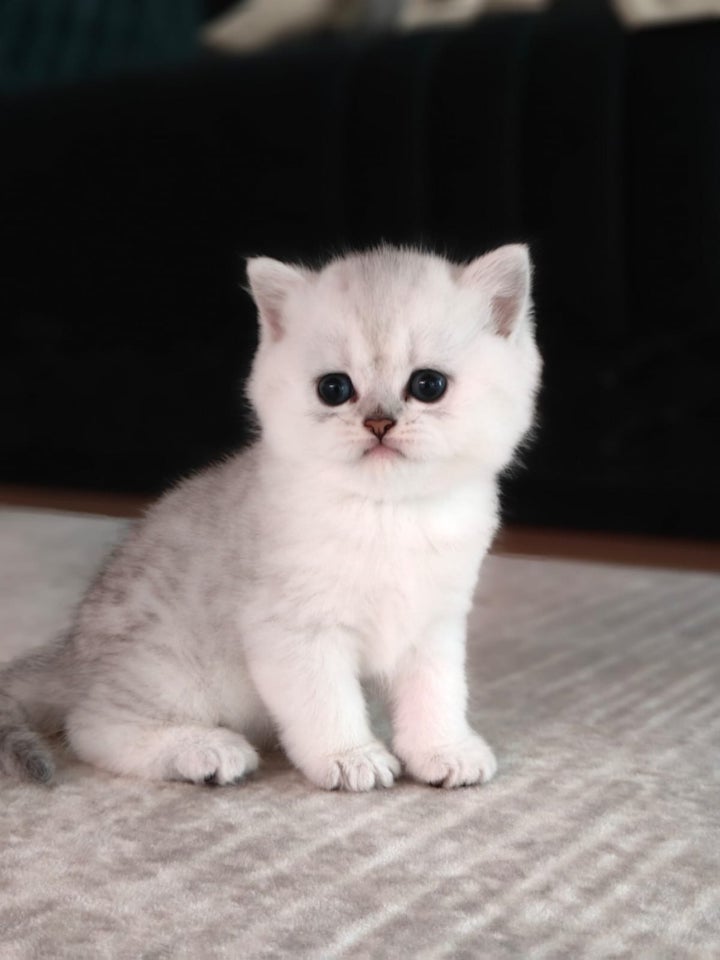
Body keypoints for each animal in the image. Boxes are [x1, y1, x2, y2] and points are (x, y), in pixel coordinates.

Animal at [0, 244, 540, 792]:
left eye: (428, 385)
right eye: (334, 388)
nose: (379, 422)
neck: (388, 514)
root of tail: (71, 654)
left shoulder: (433, 624)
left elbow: (437, 695)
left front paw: (443, 750)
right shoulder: (294, 631)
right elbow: (326, 705)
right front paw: (351, 758)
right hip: (176, 674)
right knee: (93, 727)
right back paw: (206, 750)